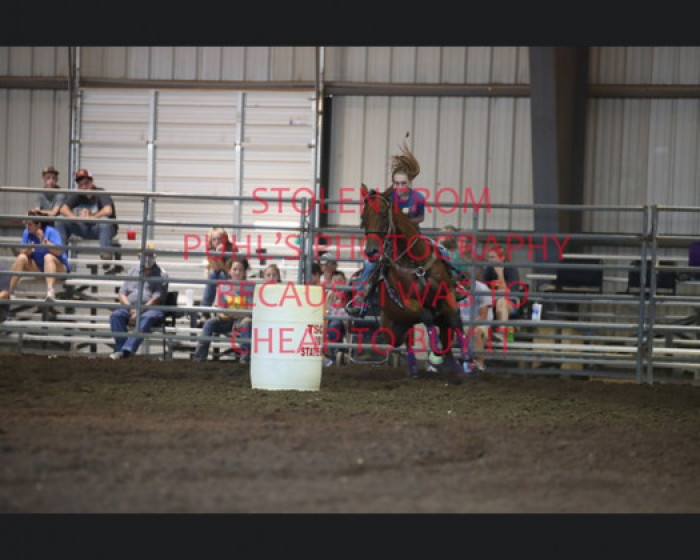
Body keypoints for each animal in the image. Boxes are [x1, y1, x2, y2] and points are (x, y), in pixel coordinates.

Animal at [357, 183, 470, 379]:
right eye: (363, 217)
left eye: (384, 214)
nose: (371, 251)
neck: (416, 263)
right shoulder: (409, 302)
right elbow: (426, 316)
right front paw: (435, 356)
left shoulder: (446, 292)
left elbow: (455, 319)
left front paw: (465, 356)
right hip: (391, 328)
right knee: (406, 339)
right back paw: (413, 367)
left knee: (444, 330)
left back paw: (452, 365)